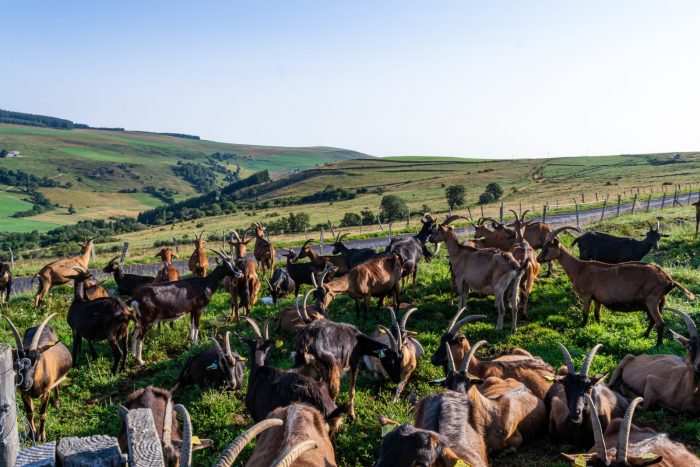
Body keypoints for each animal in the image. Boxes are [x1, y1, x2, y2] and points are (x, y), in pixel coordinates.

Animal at [2, 314, 72, 442]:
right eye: (17, 362)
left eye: (36, 361)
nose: (25, 383)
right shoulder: (23, 393)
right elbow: (29, 413)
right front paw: (31, 434)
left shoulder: (45, 393)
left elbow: (42, 414)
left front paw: (42, 436)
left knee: (56, 385)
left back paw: (56, 403)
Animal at [536, 227, 696, 348]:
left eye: (548, 247)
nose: (538, 259)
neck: (579, 268)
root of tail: (669, 279)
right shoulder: (597, 298)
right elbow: (597, 315)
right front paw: (599, 328)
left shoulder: (586, 296)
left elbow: (585, 314)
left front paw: (581, 328)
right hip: (659, 301)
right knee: (653, 320)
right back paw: (645, 335)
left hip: (652, 300)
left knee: (660, 323)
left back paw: (658, 345)